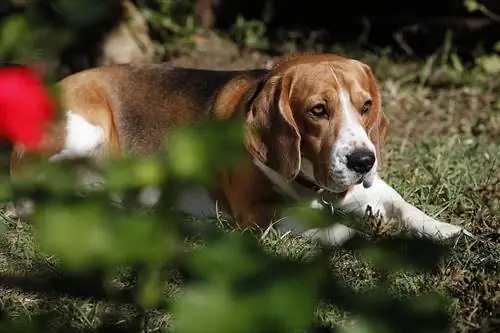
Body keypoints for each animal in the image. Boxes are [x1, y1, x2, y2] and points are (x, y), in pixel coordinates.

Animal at [8, 53, 472, 246]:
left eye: (366, 106)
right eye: (318, 110)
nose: (362, 161)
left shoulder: (366, 189)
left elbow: (403, 204)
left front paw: (449, 232)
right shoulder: (258, 214)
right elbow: (337, 231)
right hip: (84, 131)